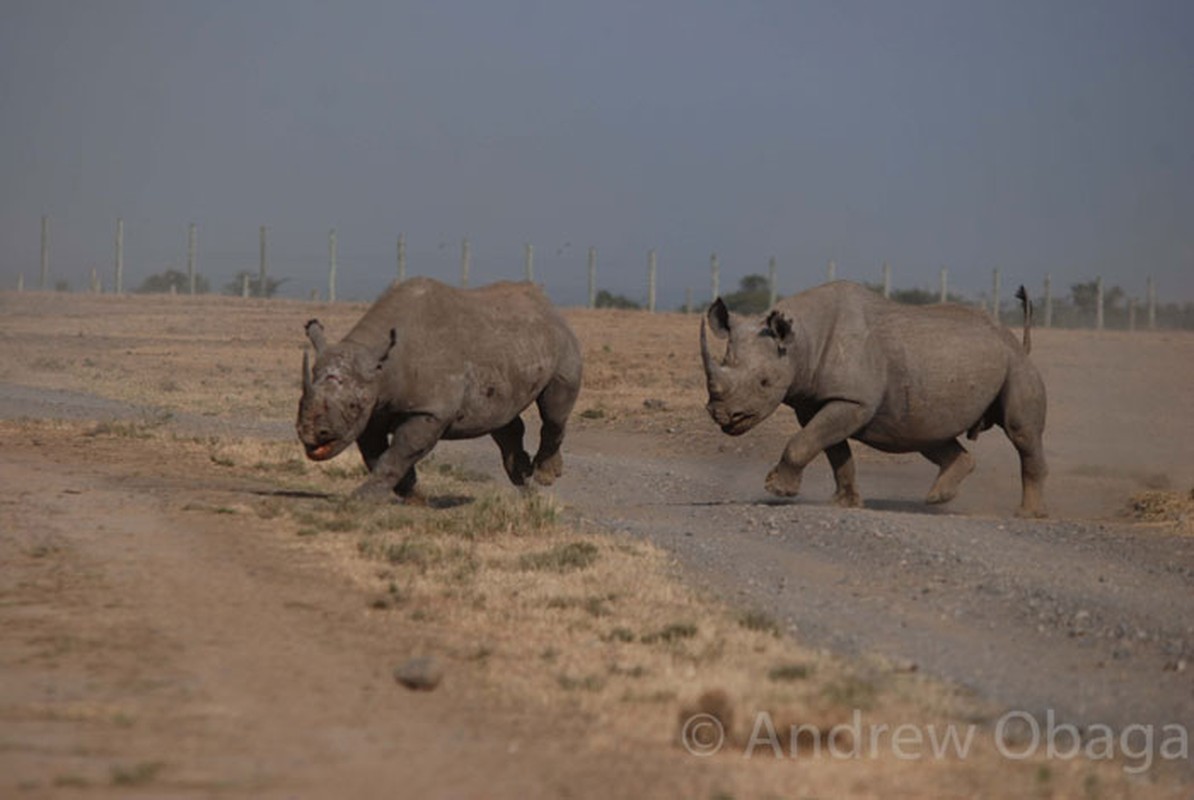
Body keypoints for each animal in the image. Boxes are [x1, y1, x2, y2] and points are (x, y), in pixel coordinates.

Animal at [296, 275, 580, 501]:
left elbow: (400, 452)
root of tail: (547, 305)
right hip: (510, 348)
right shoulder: (374, 409)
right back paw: (526, 483)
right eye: (300, 401)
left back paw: (544, 476)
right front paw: (414, 497)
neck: (381, 368)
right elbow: (376, 454)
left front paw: (361, 500)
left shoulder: (430, 410)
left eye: (353, 405)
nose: (310, 434)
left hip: (563, 342)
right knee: (502, 418)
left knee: (554, 411)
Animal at [697, 281, 1045, 520]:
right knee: (926, 434)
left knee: (1021, 433)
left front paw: (778, 490)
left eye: (764, 382)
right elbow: (832, 450)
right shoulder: (818, 403)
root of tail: (1013, 338)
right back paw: (936, 499)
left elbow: (804, 443)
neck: (800, 342)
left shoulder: (853, 401)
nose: (724, 416)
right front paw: (845, 503)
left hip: (1016, 365)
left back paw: (1027, 514)